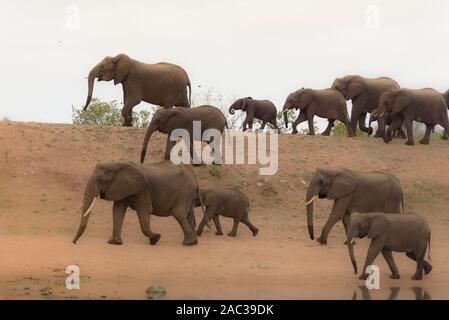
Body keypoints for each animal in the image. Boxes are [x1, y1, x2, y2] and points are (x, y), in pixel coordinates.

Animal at [72, 160, 206, 245]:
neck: (117, 163)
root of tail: (194, 176)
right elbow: (118, 210)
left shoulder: (142, 189)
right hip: (188, 195)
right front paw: (114, 242)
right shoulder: (123, 187)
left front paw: (156, 238)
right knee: (189, 214)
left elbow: (145, 210)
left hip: (184, 192)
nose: (73, 242)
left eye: (101, 180)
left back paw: (188, 243)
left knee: (179, 213)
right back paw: (193, 242)